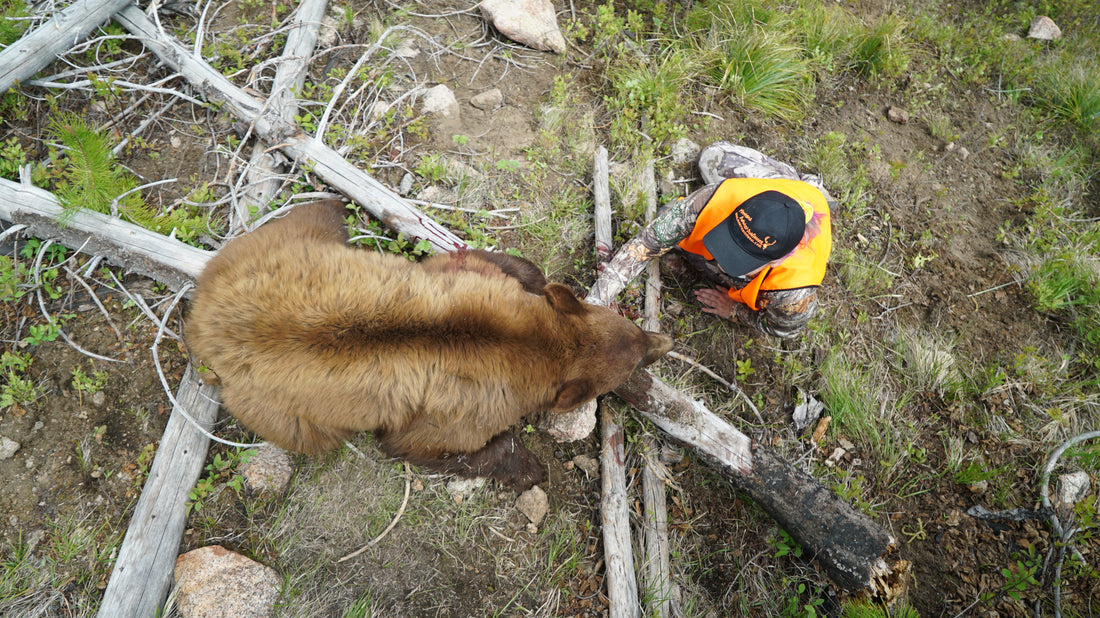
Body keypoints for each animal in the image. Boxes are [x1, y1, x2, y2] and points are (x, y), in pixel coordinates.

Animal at [185, 199, 673, 490]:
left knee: (306, 224)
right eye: (634, 358)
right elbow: (427, 444)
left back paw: (329, 204)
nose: (663, 340)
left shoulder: (472, 286)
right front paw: (530, 467)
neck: (537, 345)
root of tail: (201, 321)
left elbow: (489, 261)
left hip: (266, 251)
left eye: (633, 334)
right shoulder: (461, 406)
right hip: (280, 412)